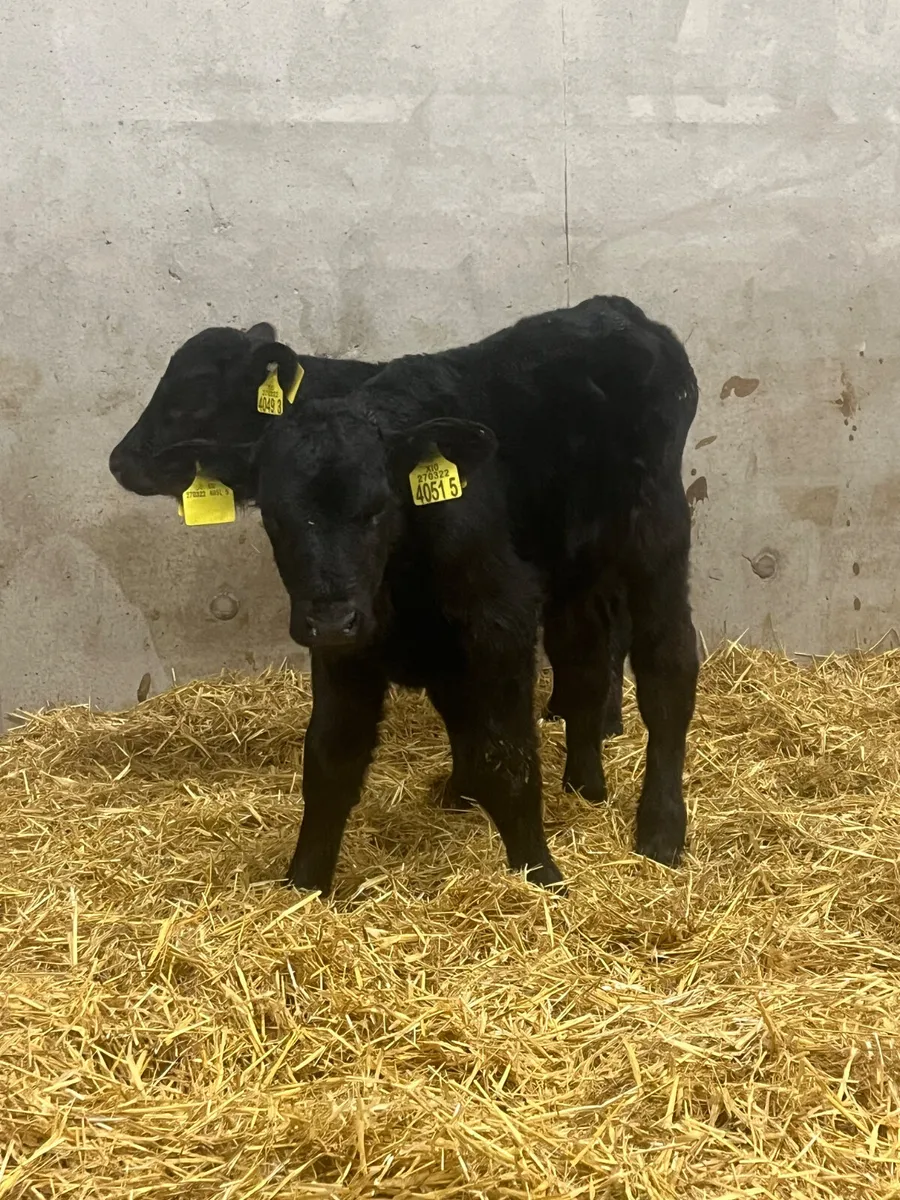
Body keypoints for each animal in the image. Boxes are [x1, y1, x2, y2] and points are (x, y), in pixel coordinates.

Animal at [211, 295, 699, 895]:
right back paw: (584, 786)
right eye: (274, 517)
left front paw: (539, 874)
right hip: (573, 568)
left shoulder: (501, 618)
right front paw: (304, 884)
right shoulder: (350, 646)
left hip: (657, 535)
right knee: (583, 665)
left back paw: (660, 829)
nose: (330, 618)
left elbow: (505, 755)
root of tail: (613, 309)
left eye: (376, 508)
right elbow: (330, 760)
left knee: (667, 668)